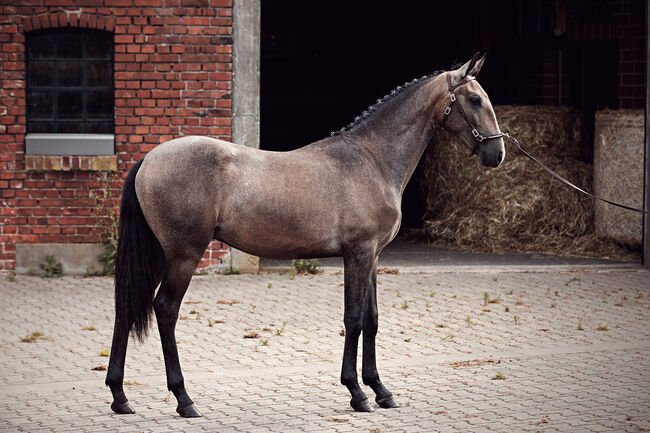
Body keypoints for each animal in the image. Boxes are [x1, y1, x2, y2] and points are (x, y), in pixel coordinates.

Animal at [106, 52, 504, 416]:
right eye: (474, 99)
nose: (496, 153)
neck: (371, 160)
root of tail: (148, 159)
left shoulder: (373, 257)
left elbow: (372, 319)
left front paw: (381, 390)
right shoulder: (358, 254)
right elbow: (353, 318)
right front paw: (357, 393)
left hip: (158, 255)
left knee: (126, 307)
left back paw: (120, 397)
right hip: (183, 255)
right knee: (165, 310)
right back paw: (184, 399)